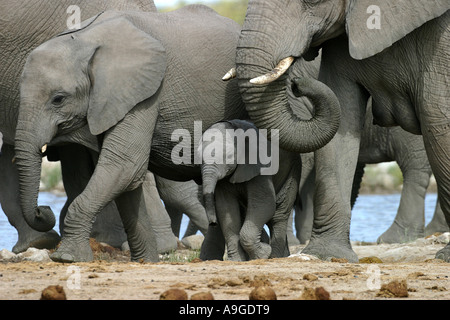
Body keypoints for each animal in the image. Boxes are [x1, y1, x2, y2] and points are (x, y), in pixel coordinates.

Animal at [198, 119, 300, 260]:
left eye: (229, 156)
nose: (213, 223)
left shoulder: (260, 167)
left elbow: (264, 204)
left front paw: (263, 254)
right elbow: (226, 208)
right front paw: (236, 261)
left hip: (292, 171)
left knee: (278, 215)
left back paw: (275, 256)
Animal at [236, 0, 450, 262]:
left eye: (311, 1)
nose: (296, 83)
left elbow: (437, 116)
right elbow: (341, 116)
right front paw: (325, 255)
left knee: (414, 164)